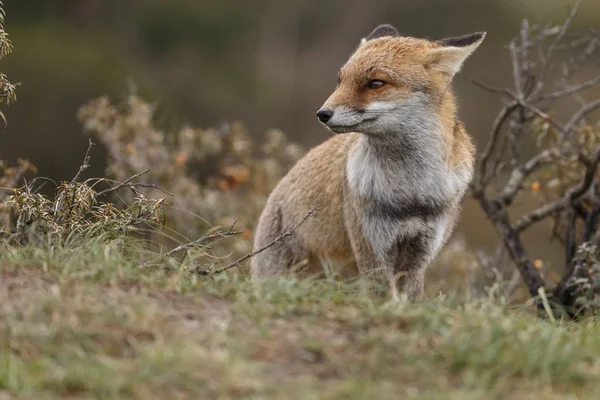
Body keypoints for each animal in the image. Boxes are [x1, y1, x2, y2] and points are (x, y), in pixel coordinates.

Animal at [248, 24, 482, 300]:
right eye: (340, 81)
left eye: (376, 83)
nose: (322, 114)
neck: (410, 192)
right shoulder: (372, 248)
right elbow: (383, 299)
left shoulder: (420, 252)